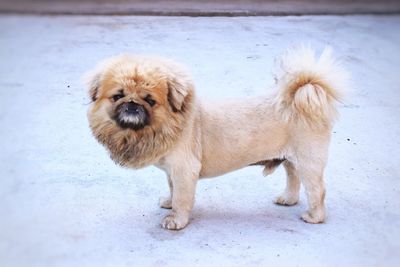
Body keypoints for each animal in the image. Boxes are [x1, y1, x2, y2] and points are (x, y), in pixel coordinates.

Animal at [86, 46, 348, 230]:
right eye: (117, 96)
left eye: (150, 100)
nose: (132, 104)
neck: (169, 125)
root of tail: (302, 96)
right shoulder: (173, 172)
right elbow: (173, 190)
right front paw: (169, 202)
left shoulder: (184, 170)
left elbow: (182, 198)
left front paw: (176, 220)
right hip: (291, 160)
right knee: (293, 179)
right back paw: (288, 200)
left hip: (308, 162)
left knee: (316, 190)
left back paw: (314, 217)